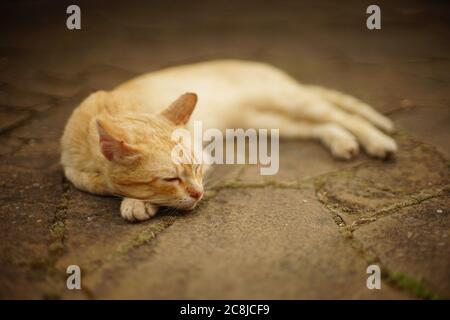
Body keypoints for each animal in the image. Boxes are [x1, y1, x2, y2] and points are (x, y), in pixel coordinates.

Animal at [60, 58, 398, 221]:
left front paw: (135, 203)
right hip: (266, 122)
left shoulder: (204, 154)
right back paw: (342, 142)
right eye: (170, 179)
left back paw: (378, 141)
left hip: (286, 99)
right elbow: (93, 183)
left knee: (343, 115)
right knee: (322, 125)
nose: (199, 195)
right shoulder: (73, 172)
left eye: (196, 169)